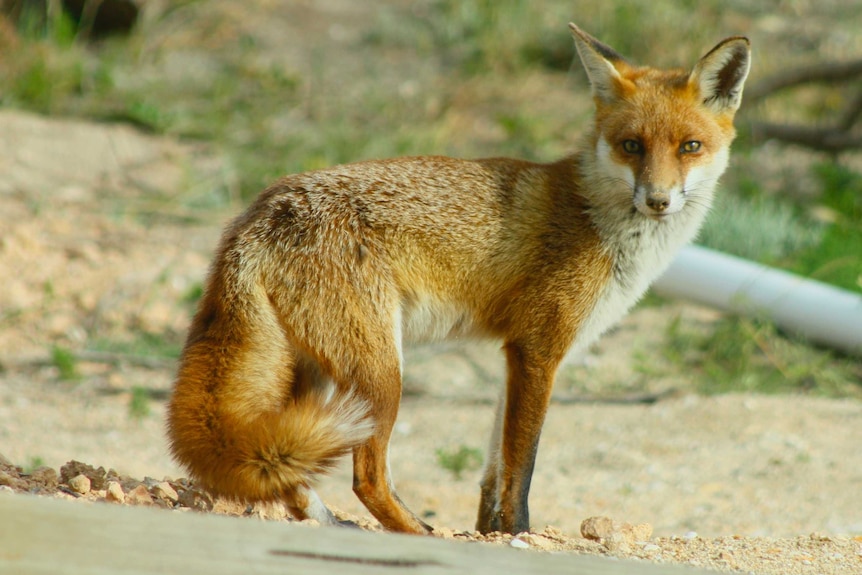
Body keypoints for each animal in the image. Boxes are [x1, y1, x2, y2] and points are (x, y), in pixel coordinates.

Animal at [167, 22, 748, 536]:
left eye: (690, 147)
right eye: (631, 146)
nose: (658, 200)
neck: (597, 219)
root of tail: (258, 212)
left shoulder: (516, 355)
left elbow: (495, 469)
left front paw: (489, 532)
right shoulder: (539, 350)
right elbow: (522, 468)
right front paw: (518, 535)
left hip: (318, 375)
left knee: (286, 469)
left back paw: (331, 524)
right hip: (381, 374)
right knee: (366, 477)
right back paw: (414, 533)